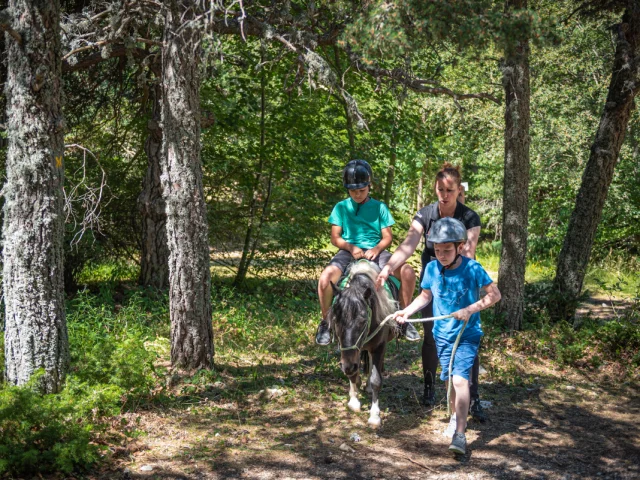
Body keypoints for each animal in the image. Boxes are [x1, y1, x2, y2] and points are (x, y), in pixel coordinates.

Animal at [328, 260, 398, 430]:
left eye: (363, 320)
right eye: (335, 319)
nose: (347, 366)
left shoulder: (379, 347)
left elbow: (376, 380)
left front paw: (374, 416)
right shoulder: (350, 353)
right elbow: (353, 373)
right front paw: (354, 401)